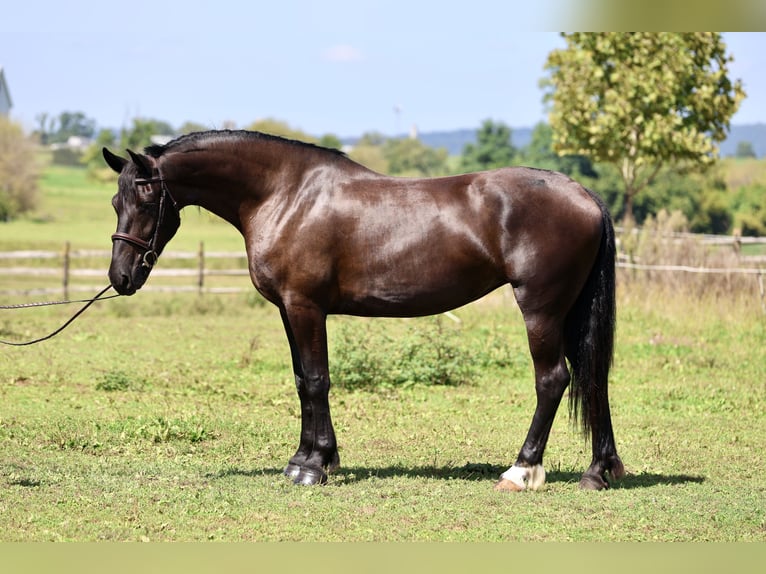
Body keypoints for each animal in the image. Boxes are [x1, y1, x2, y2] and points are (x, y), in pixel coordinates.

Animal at [102, 130, 625, 491]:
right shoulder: (289, 310)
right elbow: (302, 381)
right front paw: (307, 459)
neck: (286, 195)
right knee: (593, 378)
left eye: (146, 197)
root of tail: (584, 195)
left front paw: (313, 468)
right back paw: (599, 472)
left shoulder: (306, 306)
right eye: (114, 200)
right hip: (571, 311)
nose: (121, 277)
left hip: (540, 308)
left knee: (552, 380)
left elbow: (317, 380)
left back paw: (521, 471)